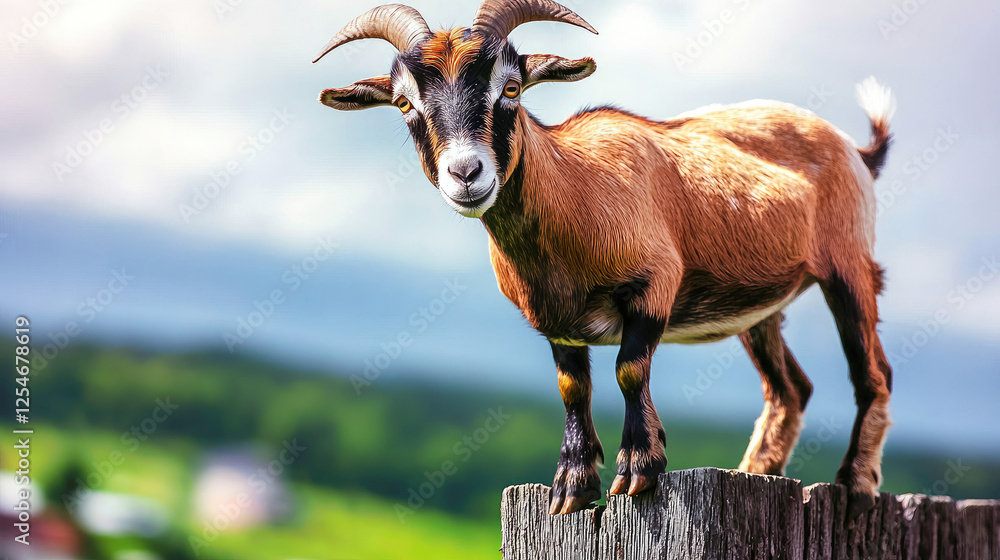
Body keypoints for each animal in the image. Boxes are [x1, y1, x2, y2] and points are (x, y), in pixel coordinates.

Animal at [313, 0, 895, 519]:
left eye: (511, 87)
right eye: (404, 103)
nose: (466, 174)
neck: (579, 187)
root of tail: (855, 151)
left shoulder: (654, 283)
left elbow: (629, 370)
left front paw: (638, 468)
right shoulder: (554, 319)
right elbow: (573, 388)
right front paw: (571, 486)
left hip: (849, 264)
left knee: (873, 372)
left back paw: (857, 485)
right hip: (759, 309)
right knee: (790, 389)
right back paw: (755, 471)